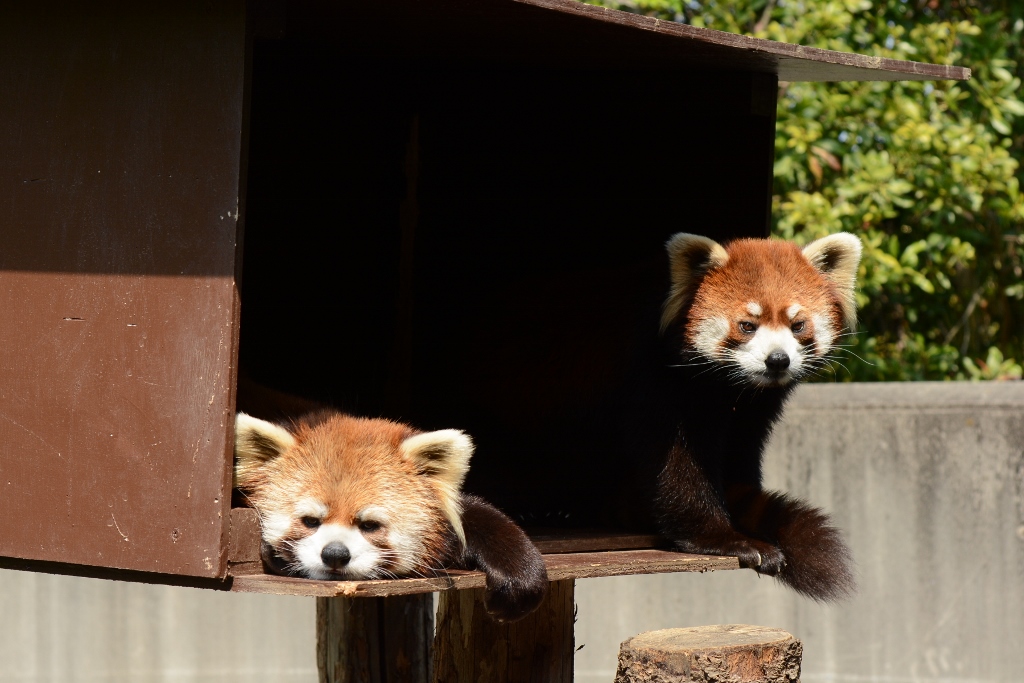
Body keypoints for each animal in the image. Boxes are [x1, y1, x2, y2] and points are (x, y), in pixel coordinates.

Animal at [651, 232, 860, 602]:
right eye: (747, 326)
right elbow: (679, 468)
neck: (732, 390)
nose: (777, 360)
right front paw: (723, 539)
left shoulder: (753, 413)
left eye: (798, 325)